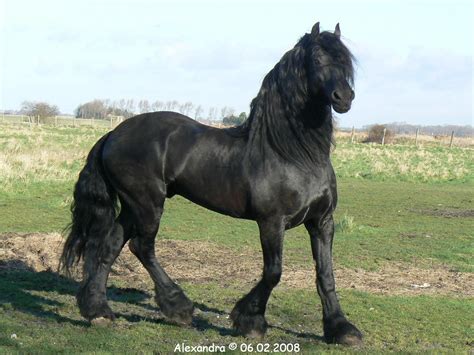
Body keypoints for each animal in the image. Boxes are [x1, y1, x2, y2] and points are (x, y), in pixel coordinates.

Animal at [60, 21, 362, 344]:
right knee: (142, 247)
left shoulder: (322, 222)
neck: (294, 154)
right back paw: (178, 307)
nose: (344, 97)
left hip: (132, 206)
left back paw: (98, 310)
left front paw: (341, 328)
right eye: (317, 59)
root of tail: (113, 133)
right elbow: (273, 272)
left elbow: (325, 274)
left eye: (345, 62)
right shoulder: (271, 222)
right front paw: (249, 320)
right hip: (148, 204)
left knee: (111, 246)